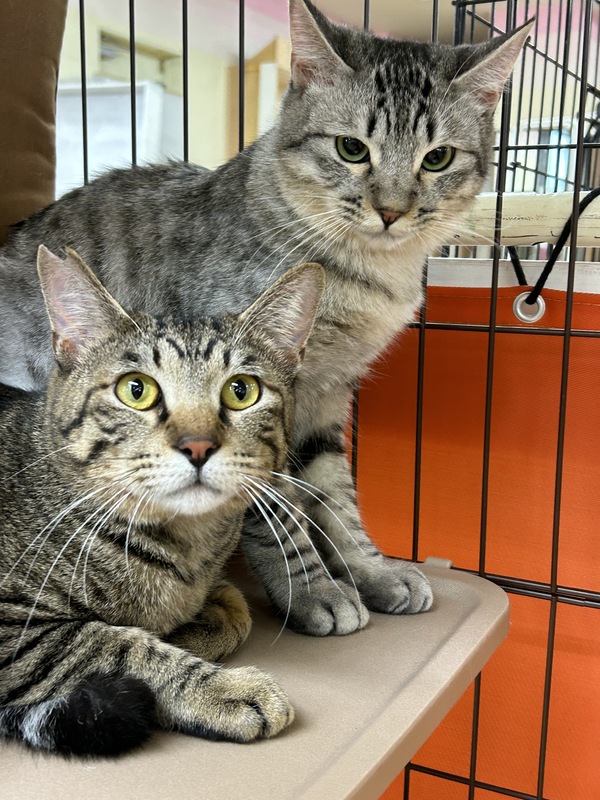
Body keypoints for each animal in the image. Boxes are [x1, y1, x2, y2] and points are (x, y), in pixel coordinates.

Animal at [0, 0, 532, 636]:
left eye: (438, 158)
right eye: (352, 149)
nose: (391, 211)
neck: (366, 276)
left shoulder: (327, 395)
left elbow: (336, 496)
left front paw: (371, 570)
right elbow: (276, 510)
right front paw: (312, 588)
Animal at [0, 245, 326, 756]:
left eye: (242, 391)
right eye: (136, 389)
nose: (198, 445)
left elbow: (235, 609)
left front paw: (195, 622)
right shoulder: (16, 632)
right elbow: (115, 645)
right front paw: (223, 688)